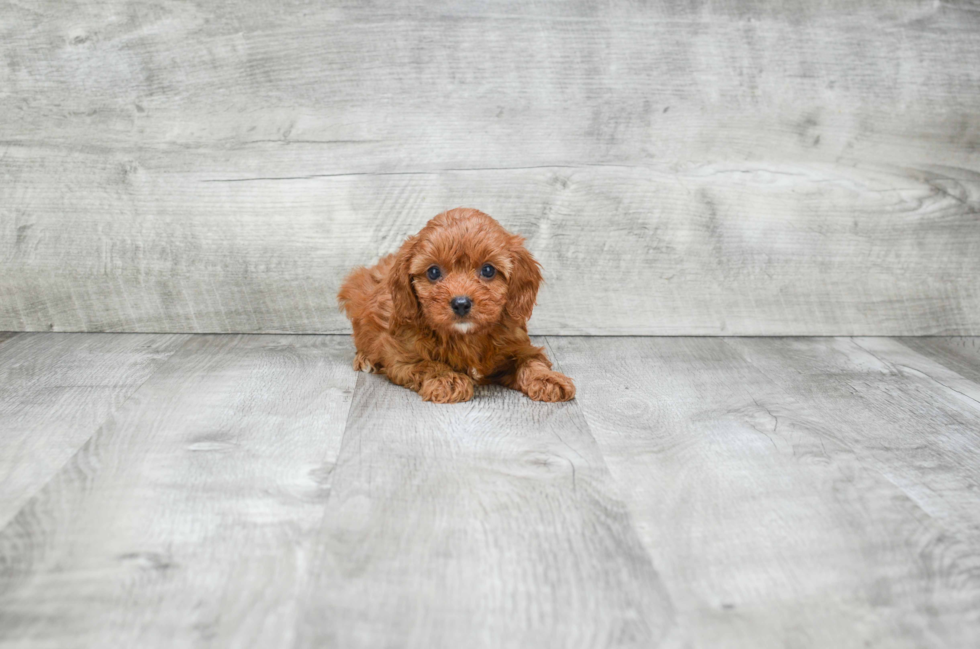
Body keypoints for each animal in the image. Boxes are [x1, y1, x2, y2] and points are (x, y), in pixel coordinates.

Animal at [342, 208, 580, 402]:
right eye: (433, 272)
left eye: (488, 270)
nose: (461, 303)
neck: (466, 337)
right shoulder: (402, 356)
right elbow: (427, 363)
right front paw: (448, 379)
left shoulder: (518, 345)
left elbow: (532, 360)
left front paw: (549, 379)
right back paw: (365, 358)